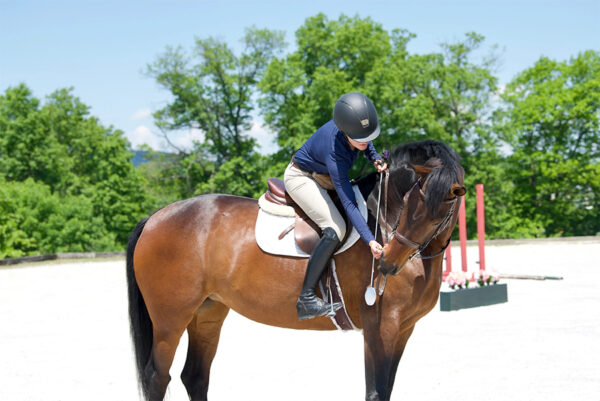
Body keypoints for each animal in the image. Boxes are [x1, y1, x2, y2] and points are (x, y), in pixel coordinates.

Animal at [125, 138, 464, 400]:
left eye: (440, 214)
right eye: (409, 204)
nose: (387, 263)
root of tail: (154, 217)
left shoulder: (404, 329)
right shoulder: (380, 328)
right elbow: (376, 392)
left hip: (207, 313)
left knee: (195, 376)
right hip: (170, 320)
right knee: (158, 378)